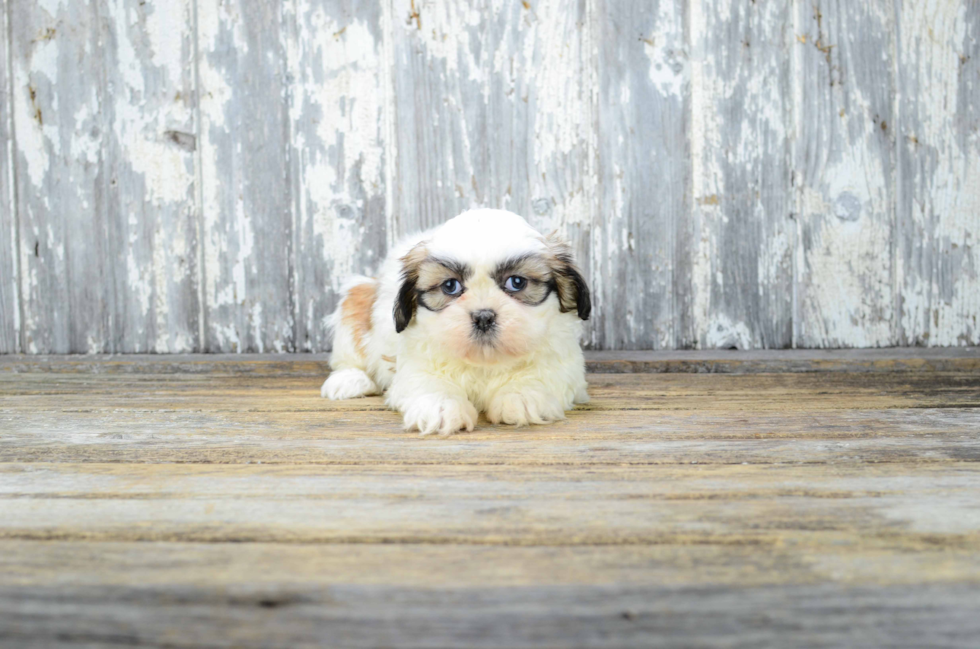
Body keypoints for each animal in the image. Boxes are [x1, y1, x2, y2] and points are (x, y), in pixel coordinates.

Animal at [322, 209, 588, 436]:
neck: (484, 362)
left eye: (517, 283)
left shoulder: (563, 363)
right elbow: (429, 381)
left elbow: (542, 375)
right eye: (450, 286)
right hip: (356, 298)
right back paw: (349, 380)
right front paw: (441, 406)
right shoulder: (415, 362)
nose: (483, 316)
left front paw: (522, 395)